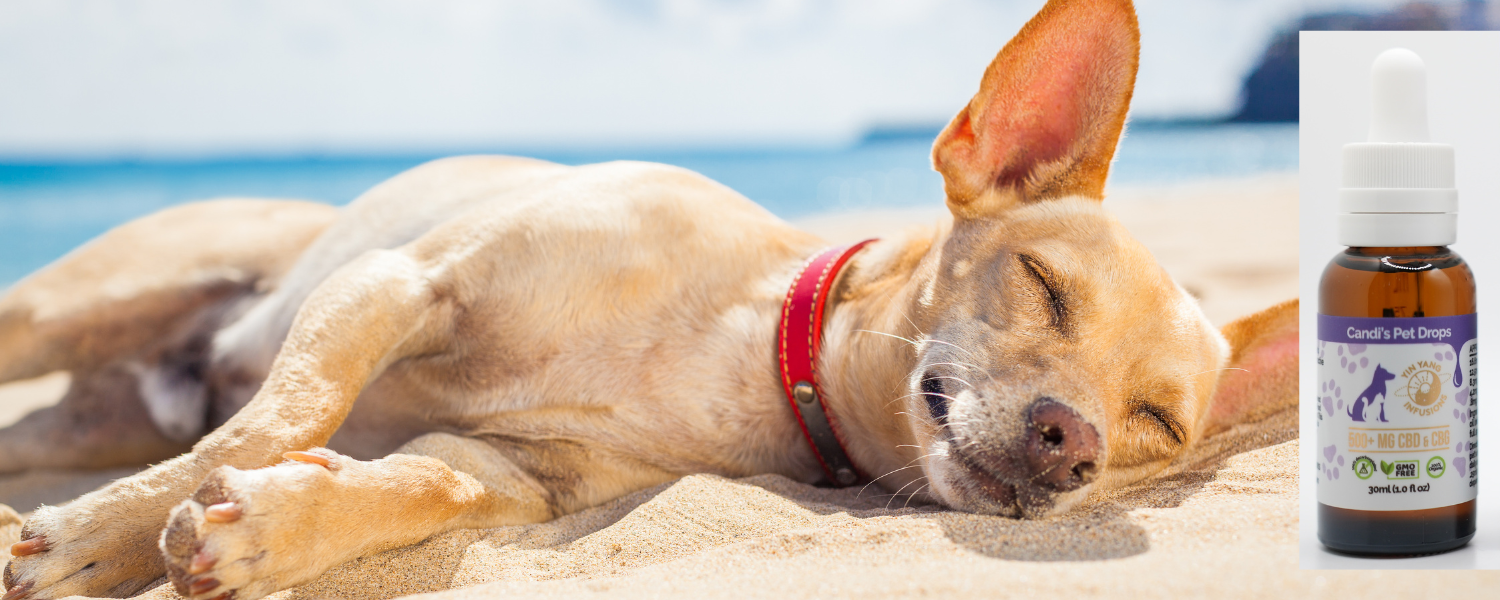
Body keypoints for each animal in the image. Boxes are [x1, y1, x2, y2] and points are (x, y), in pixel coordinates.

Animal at [0, 1, 1296, 600]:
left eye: (1155, 425)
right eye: (1043, 285)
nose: (1073, 442)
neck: (740, 344)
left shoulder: (518, 473)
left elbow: (415, 484)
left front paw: (273, 526)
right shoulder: (401, 283)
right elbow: (278, 418)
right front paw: (99, 540)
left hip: (84, 413)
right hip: (72, 312)